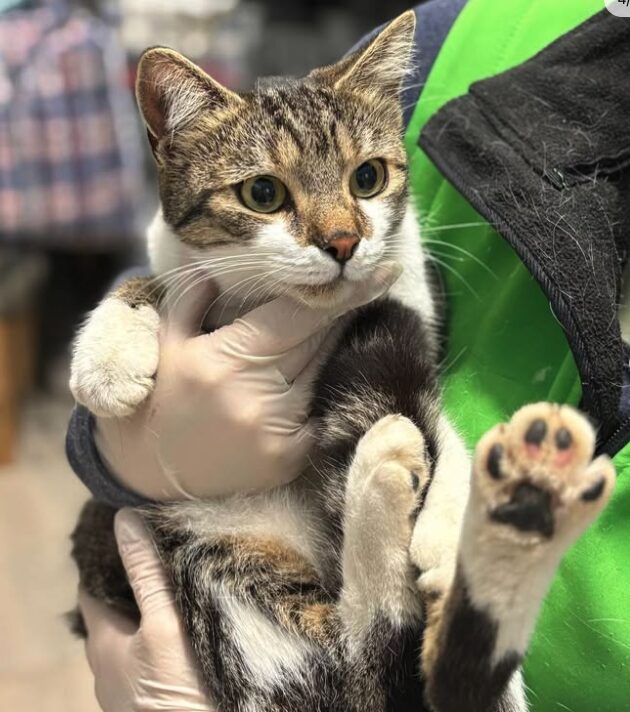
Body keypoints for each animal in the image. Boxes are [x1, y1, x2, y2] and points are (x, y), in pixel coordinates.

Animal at [70, 12, 616, 712]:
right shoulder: (176, 258)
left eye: (368, 178)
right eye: (263, 193)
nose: (343, 241)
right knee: (368, 659)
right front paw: (107, 358)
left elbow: (442, 422)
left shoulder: (415, 302)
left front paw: (447, 523)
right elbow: (153, 283)